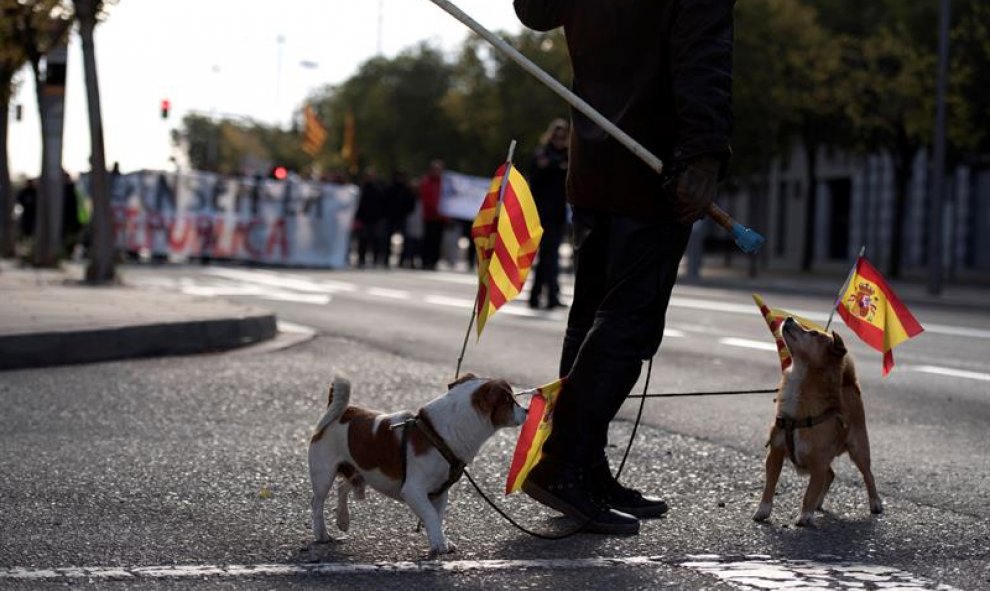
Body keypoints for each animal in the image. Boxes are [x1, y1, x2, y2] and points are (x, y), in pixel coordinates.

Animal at [308, 374, 528, 556]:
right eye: (510, 401)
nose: (526, 410)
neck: (442, 433)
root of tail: (342, 411)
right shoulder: (413, 491)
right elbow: (430, 514)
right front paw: (439, 544)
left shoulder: (440, 492)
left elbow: (437, 517)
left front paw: (440, 539)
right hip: (323, 473)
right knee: (317, 502)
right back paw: (321, 533)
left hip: (356, 470)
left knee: (342, 486)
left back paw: (343, 519)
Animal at [756, 320, 888, 528]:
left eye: (813, 333)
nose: (790, 318)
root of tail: (850, 384)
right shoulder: (775, 453)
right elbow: (769, 485)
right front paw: (763, 510)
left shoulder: (818, 462)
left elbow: (809, 493)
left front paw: (805, 515)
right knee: (831, 475)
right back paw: (819, 503)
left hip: (859, 449)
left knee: (868, 475)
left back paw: (875, 502)